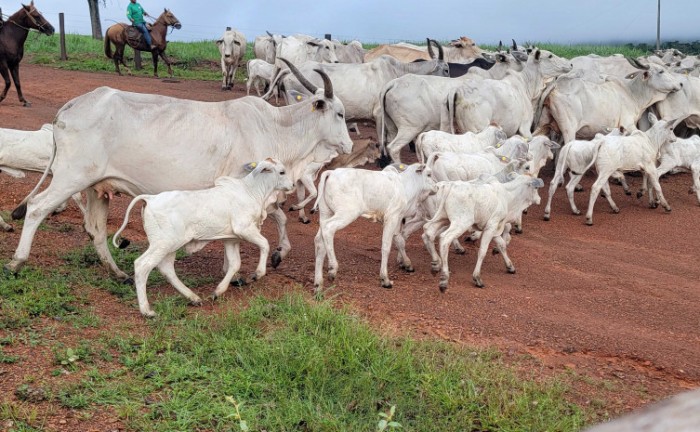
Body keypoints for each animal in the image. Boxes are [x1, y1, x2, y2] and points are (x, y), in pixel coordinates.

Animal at [4, 61, 353, 281]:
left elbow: (277, 216)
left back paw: (117, 272)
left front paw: (276, 253)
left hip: (96, 186)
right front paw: (246, 267)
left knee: (96, 229)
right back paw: (17, 262)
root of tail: (72, 105)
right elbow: (270, 219)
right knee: (36, 208)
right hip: (70, 177)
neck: (277, 127)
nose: (349, 145)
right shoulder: (244, 187)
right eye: (339, 113)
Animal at [111, 159, 294, 317]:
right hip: (162, 244)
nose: (292, 185)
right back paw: (147, 311)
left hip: (170, 246)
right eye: (282, 172)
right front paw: (257, 274)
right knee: (142, 265)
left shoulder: (231, 239)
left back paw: (193, 298)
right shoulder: (245, 228)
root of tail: (150, 198)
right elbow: (265, 244)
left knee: (166, 268)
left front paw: (217, 292)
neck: (251, 191)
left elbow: (235, 264)